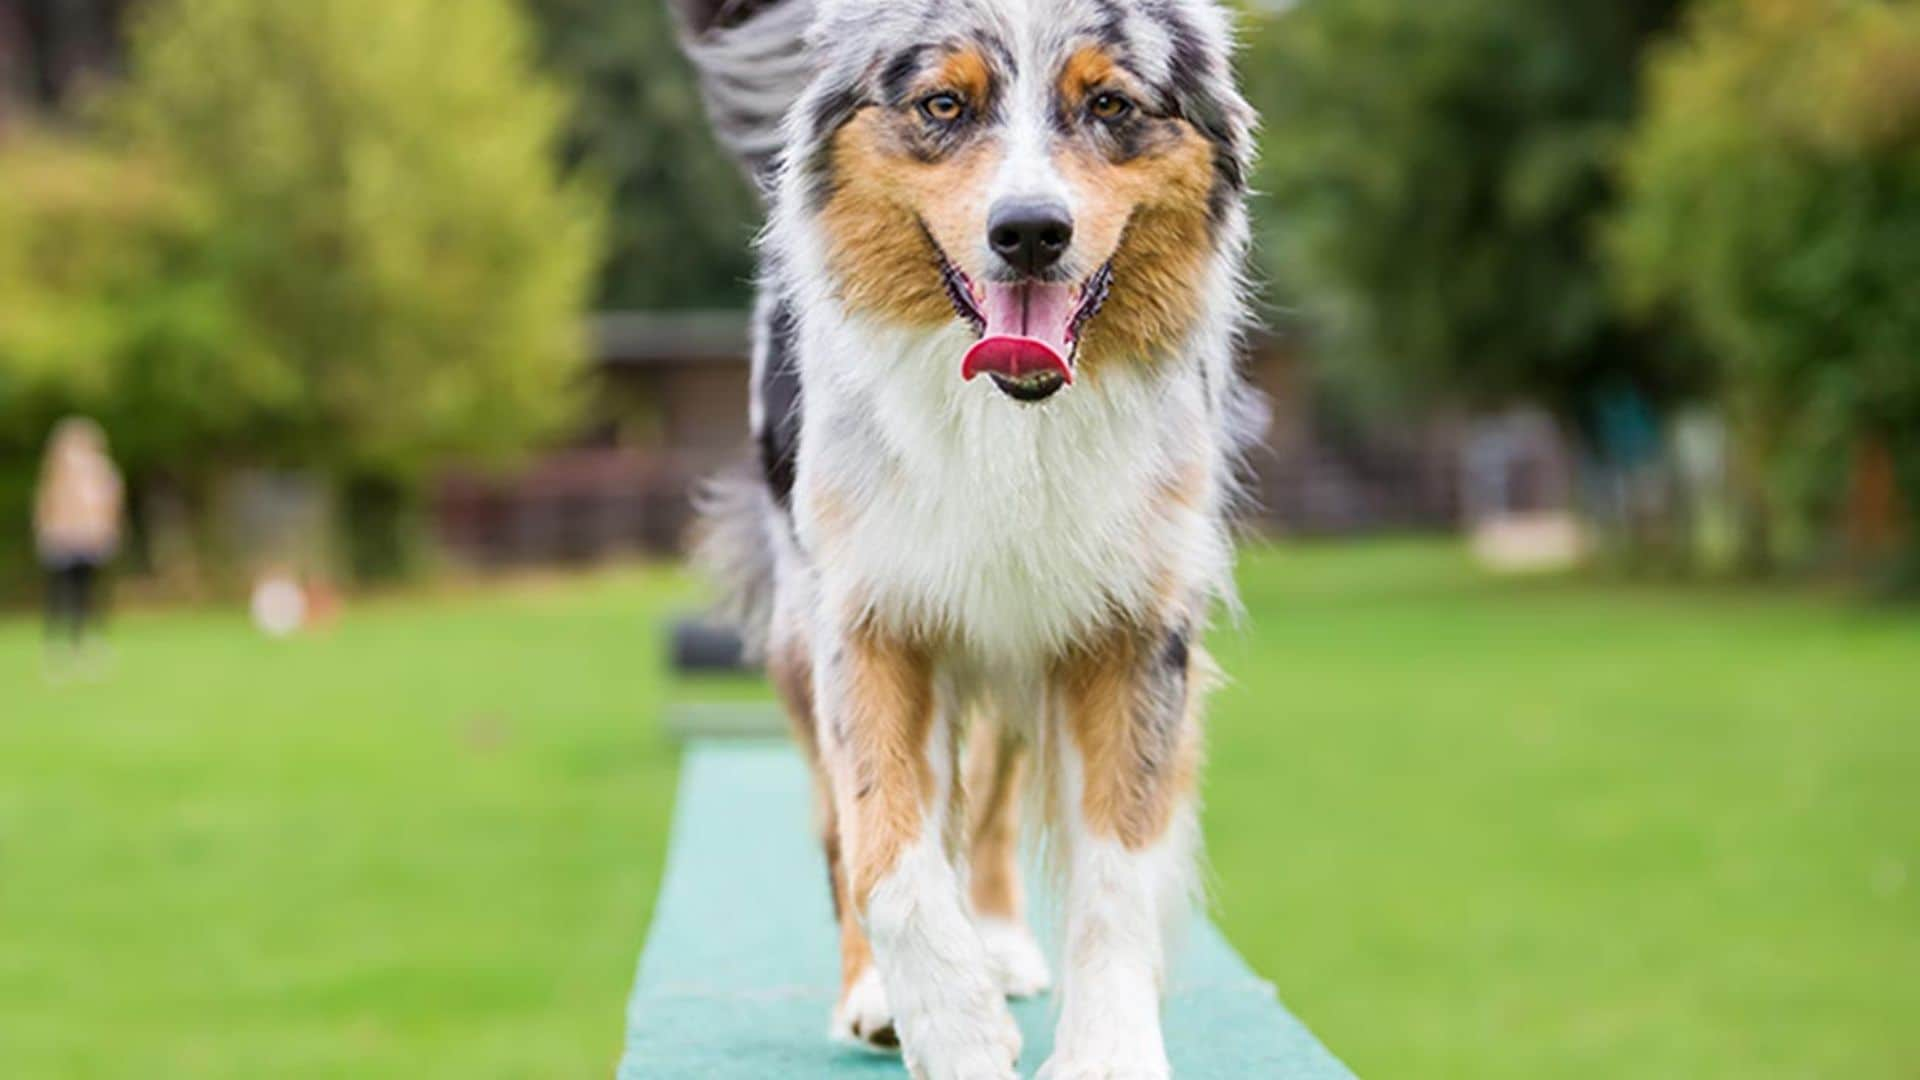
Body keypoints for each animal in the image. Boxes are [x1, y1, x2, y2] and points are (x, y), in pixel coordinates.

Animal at [679, 4, 1259, 1068]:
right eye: (944, 104)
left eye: (1109, 104)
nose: (1029, 231)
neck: (1010, 414)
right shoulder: (865, 610)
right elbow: (885, 845)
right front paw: (950, 1029)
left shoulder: (1131, 620)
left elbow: (1119, 862)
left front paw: (1107, 1050)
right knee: (846, 825)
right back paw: (875, 996)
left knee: (990, 794)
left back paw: (1000, 943)